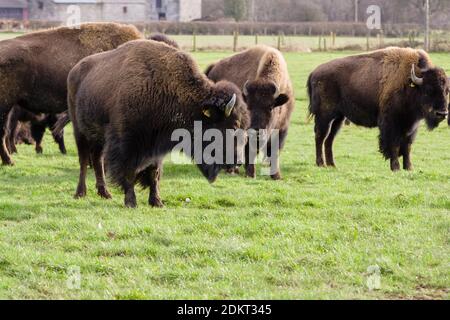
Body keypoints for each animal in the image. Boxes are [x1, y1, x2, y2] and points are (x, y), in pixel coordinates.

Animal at [67, 40, 250, 209]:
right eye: (234, 125)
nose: (238, 161)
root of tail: (74, 71)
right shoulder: (127, 144)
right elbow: (129, 172)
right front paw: (131, 202)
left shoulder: (156, 147)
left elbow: (153, 173)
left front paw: (157, 202)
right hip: (79, 131)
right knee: (84, 161)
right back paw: (80, 193)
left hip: (97, 137)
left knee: (97, 160)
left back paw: (105, 193)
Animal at [205, 45, 296, 180]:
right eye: (248, 106)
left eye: (270, 107)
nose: (256, 131)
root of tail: (213, 68)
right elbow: (250, 151)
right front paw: (250, 174)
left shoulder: (282, 129)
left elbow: (274, 151)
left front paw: (277, 176)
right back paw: (230, 169)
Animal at [308, 46, 448, 171]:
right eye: (428, 90)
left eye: (447, 91)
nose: (442, 113)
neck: (410, 83)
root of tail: (314, 72)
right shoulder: (391, 123)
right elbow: (394, 145)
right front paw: (395, 168)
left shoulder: (411, 125)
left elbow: (407, 146)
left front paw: (409, 168)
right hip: (324, 115)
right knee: (320, 136)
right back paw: (321, 164)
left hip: (338, 118)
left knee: (329, 139)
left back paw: (332, 165)